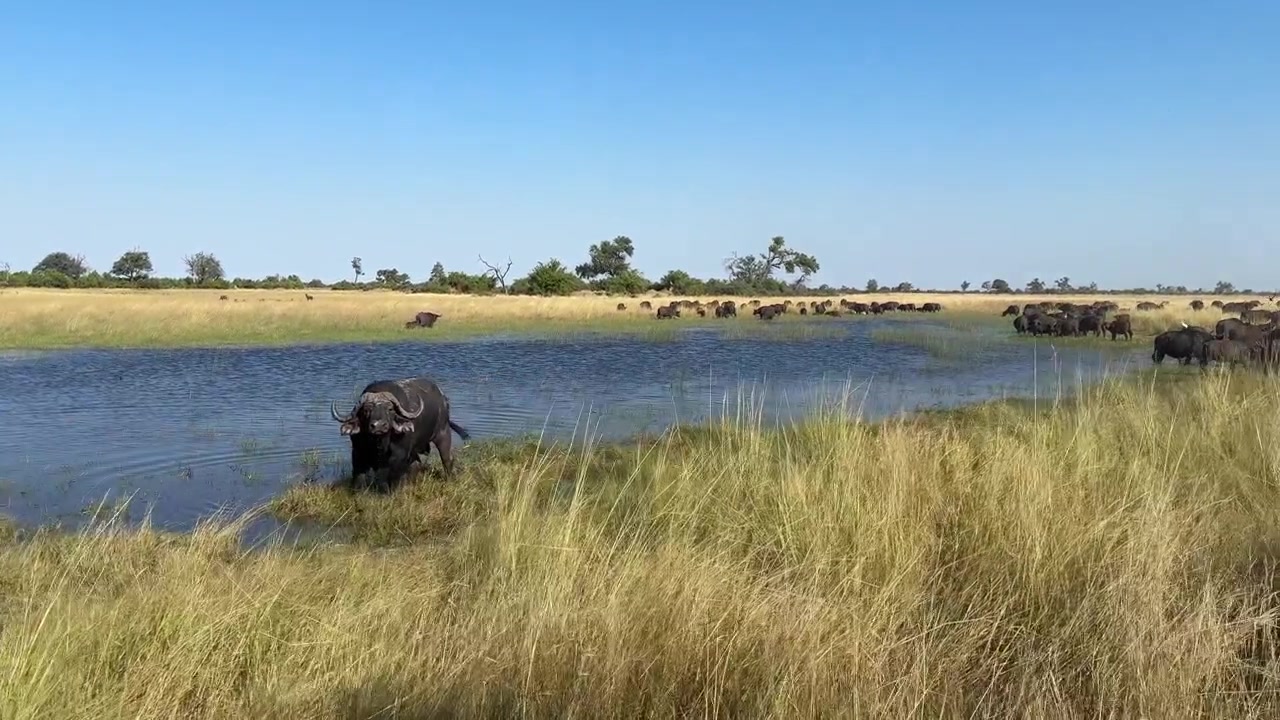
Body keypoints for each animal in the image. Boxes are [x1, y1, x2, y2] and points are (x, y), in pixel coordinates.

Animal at [330, 377, 471, 489]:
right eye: (366, 410)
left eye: (390, 409)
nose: (378, 426)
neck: (380, 444)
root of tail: (443, 398)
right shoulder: (358, 453)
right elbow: (359, 478)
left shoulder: (399, 456)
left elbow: (389, 477)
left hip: (443, 434)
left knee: (447, 460)